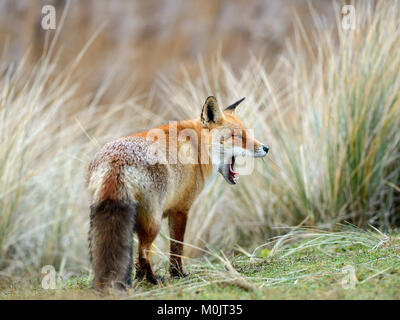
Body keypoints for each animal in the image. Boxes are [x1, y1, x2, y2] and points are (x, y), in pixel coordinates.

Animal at [87, 95, 268, 290]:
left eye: (247, 134)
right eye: (237, 136)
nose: (266, 148)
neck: (198, 148)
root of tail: (116, 161)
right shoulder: (181, 209)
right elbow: (177, 248)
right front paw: (178, 274)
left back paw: (137, 279)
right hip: (153, 222)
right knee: (143, 253)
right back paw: (152, 279)